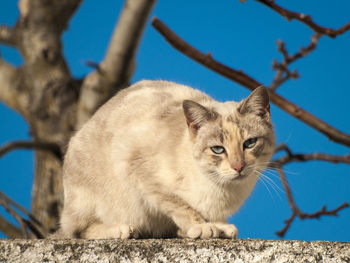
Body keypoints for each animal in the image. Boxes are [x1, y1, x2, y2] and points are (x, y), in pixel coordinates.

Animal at [57, 80, 274, 239]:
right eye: (218, 149)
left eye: (250, 143)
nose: (238, 167)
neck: (221, 189)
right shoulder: (139, 168)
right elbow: (182, 207)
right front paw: (202, 228)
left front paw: (220, 227)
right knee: (76, 230)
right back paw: (124, 230)